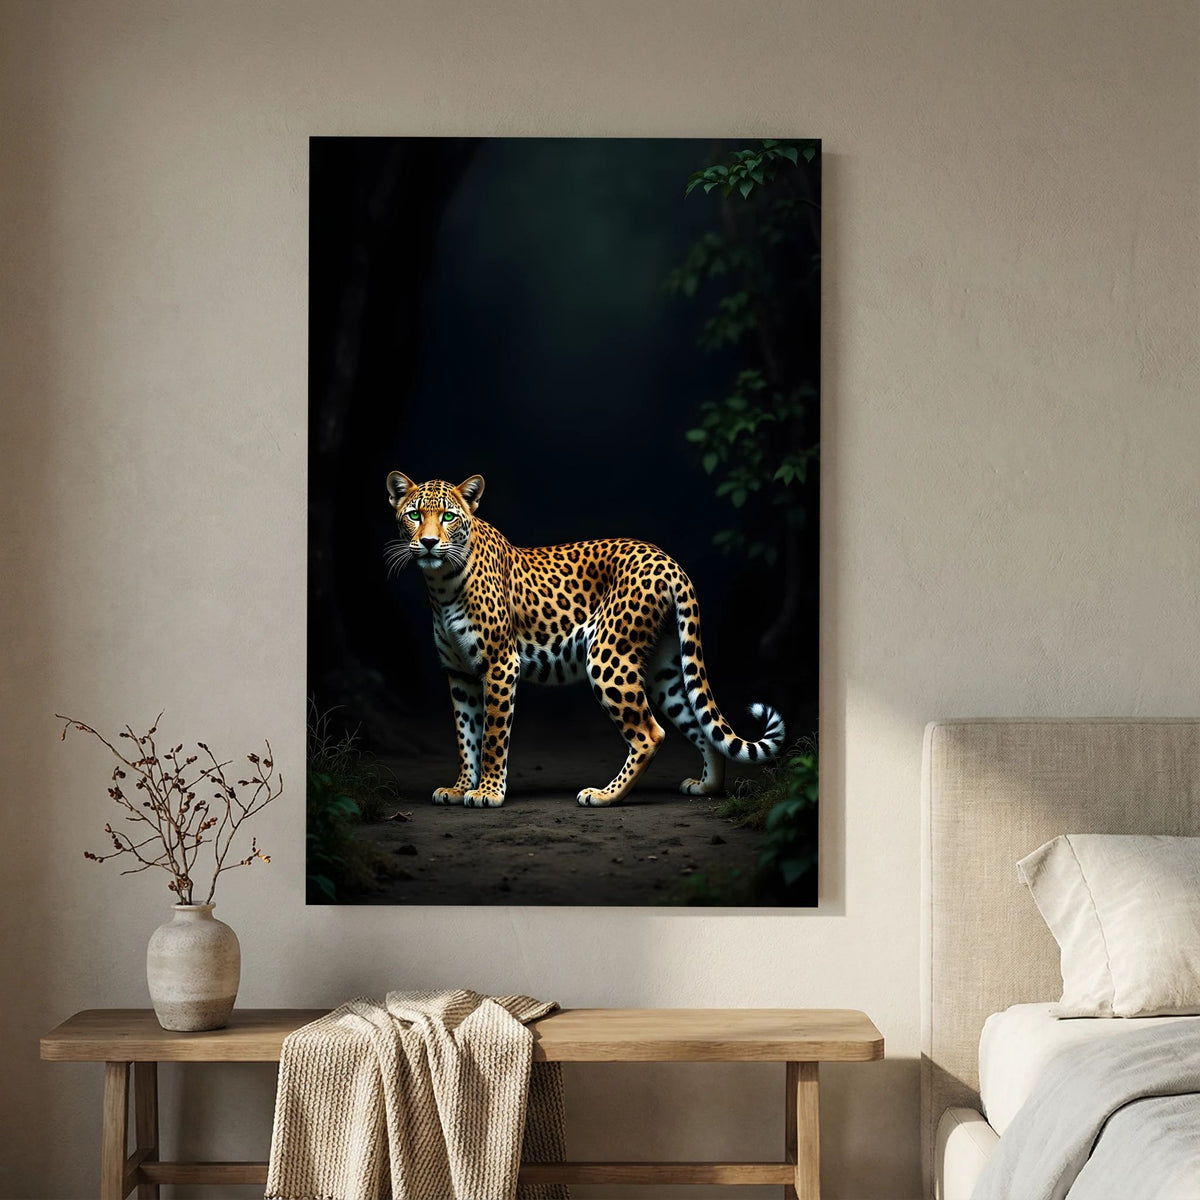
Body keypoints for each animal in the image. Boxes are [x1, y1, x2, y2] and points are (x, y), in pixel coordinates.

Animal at [385, 471, 785, 808]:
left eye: (448, 517)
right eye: (415, 515)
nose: (429, 543)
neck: (441, 584)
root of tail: (668, 560)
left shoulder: (500, 665)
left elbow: (492, 737)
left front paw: (488, 792)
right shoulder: (460, 673)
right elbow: (465, 735)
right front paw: (459, 787)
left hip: (609, 657)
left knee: (650, 733)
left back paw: (605, 795)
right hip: (663, 669)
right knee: (699, 723)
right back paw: (707, 787)